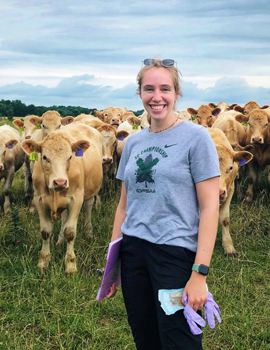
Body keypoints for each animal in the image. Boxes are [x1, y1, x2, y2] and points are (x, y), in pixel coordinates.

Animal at [21, 123, 103, 274]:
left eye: (70, 157)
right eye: (45, 157)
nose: (60, 182)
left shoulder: (77, 199)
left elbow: (70, 232)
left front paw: (70, 265)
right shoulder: (39, 199)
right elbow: (45, 231)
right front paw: (43, 262)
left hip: (90, 191)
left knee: (88, 208)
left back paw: (88, 233)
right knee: (64, 217)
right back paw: (60, 241)